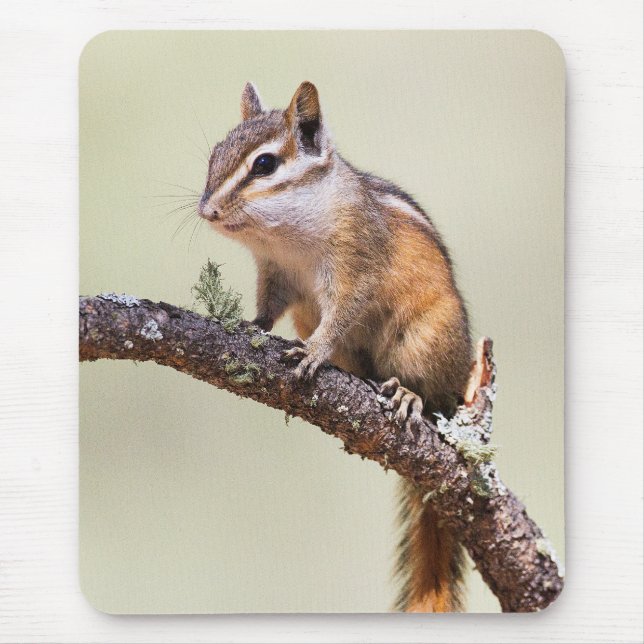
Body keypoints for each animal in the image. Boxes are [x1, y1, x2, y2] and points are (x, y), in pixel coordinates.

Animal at [198, 81, 473, 612]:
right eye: (214, 154)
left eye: (265, 165)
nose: (206, 212)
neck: (287, 237)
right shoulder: (276, 274)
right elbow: (268, 307)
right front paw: (250, 326)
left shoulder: (354, 267)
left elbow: (343, 315)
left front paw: (312, 352)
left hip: (427, 341)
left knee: (435, 400)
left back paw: (410, 395)